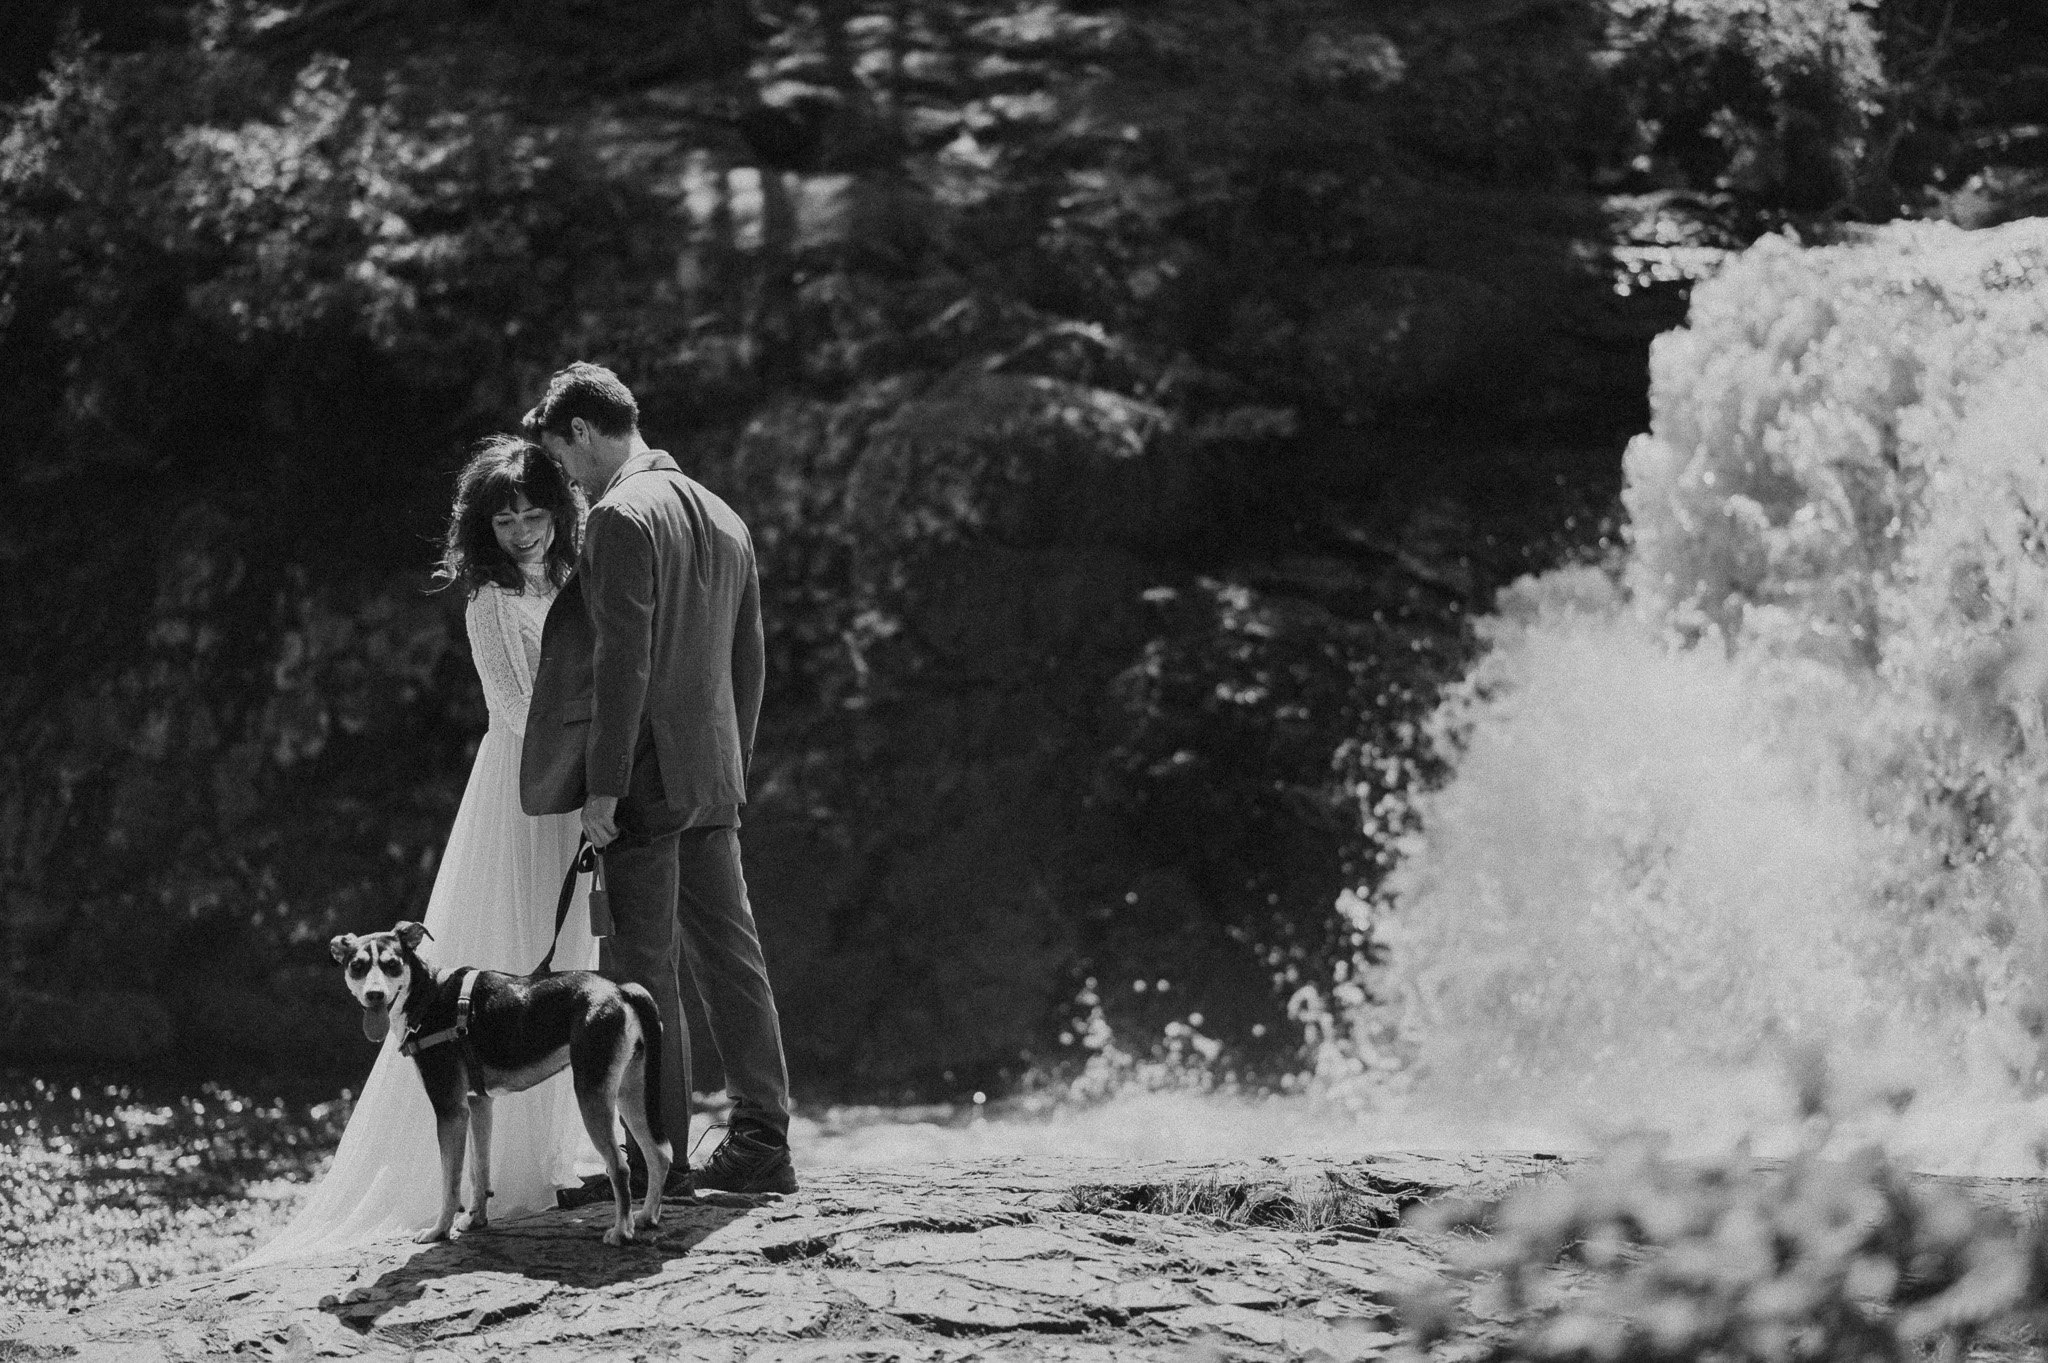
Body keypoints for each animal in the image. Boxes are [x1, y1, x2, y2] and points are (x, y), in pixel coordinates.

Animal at [329, 912, 671, 1244]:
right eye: (357, 966)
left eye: (392, 964)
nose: (374, 995)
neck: (428, 994)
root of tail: (621, 989)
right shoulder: (477, 1104)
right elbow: (479, 1172)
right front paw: (476, 1220)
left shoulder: (450, 1109)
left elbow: (451, 1182)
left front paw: (439, 1231)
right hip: (631, 1095)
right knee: (659, 1155)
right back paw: (646, 1217)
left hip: (593, 1095)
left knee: (620, 1168)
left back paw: (621, 1231)